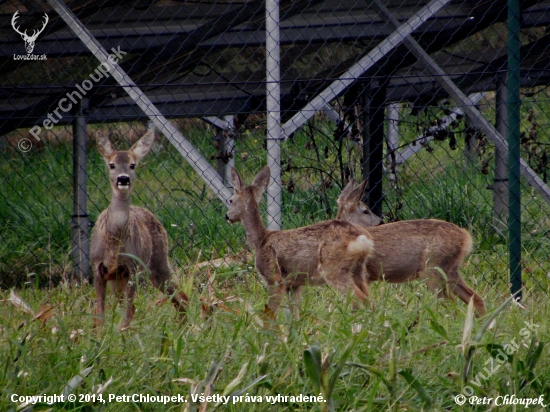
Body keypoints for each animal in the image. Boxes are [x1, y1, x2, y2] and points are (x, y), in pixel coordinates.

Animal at [91, 130, 190, 330]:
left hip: (158, 263)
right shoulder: (97, 267)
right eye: (111, 165)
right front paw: (99, 336)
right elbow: (100, 315)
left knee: (181, 296)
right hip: (119, 279)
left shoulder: (132, 267)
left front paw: (118, 334)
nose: (123, 178)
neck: (113, 241)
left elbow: (126, 314)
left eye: (132, 165)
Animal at [226, 166, 378, 318]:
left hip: (334, 268)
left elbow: (271, 312)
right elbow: (294, 315)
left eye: (230, 200)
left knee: (362, 300)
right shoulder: (294, 284)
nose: (227, 216)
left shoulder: (274, 277)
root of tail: (362, 238)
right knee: (369, 299)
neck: (260, 240)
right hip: (358, 269)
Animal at [336, 179, 488, 318]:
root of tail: (465, 236)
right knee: (474, 299)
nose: (380, 221)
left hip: (433, 268)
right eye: (366, 211)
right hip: (450, 270)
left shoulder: (363, 275)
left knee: (450, 304)